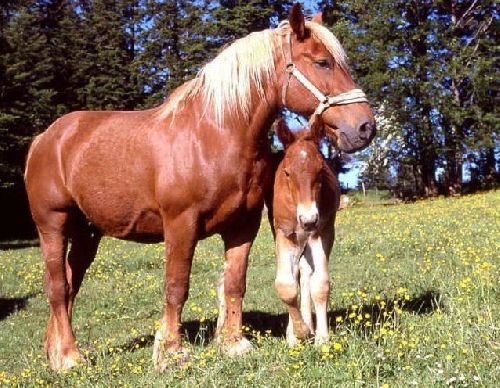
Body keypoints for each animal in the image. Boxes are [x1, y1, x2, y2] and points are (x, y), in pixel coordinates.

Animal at [24, 4, 376, 372]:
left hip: (86, 234)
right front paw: (171, 352)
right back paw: (69, 356)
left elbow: (235, 282)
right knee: (58, 287)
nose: (366, 127)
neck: (215, 135)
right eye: (322, 62)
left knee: (69, 283)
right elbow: (177, 286)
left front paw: (233, 343)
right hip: (52, 225)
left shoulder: (243, 225)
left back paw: (54, 350)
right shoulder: (181, 224)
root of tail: (44, 139)